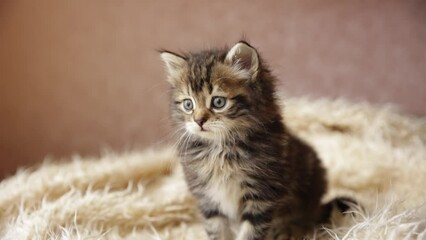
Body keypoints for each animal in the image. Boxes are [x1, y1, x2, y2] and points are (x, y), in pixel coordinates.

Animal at [161, 41, 332, 240]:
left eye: (218, 102)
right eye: (188, 104)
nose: (198, 121)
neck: (220, 149)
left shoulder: (261, 195)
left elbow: (250, 233)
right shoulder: (208, 198)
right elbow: (216, 230)